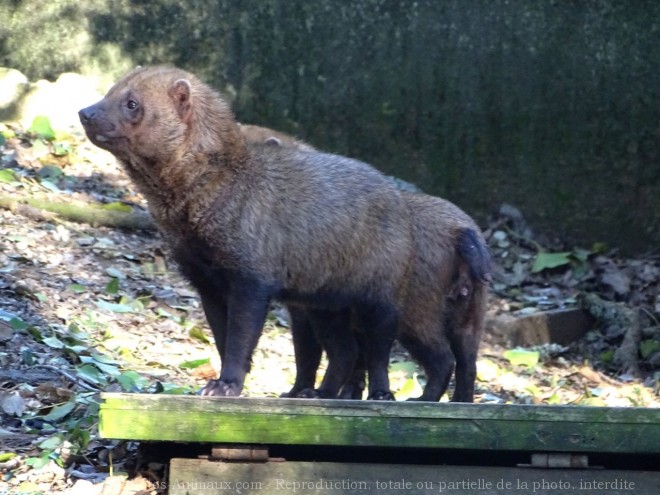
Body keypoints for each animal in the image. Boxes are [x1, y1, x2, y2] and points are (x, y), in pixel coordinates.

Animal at [78, 65, 412, 400]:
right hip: (323, 302)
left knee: (376, 350)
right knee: (345, 350)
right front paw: (217, 383)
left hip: (377, 296)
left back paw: (378, 394)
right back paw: (318, 394)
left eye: (132, 102)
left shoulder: (252, 274)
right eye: (109, 90)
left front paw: (224, 385)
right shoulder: (203, 277)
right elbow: (221, 336)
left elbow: (241, 335)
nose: (85, 112)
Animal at [242, 126, 490, 402]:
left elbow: (308, 354)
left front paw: (299, 392)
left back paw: (422, 398)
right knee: (468, 365)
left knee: (442, 359)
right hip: (470, 316)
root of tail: (460, 232)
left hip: (415, 317)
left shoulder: (304, 310)